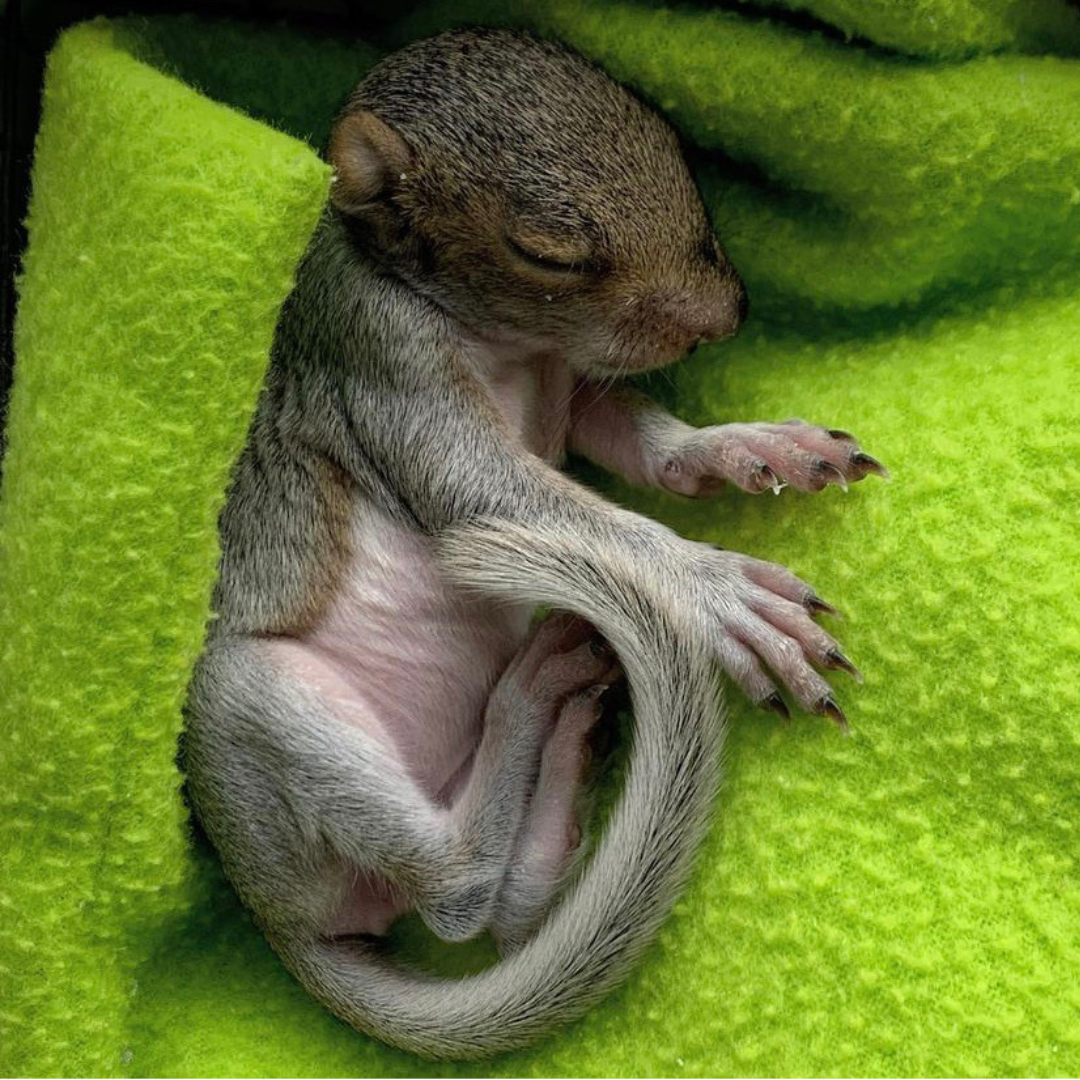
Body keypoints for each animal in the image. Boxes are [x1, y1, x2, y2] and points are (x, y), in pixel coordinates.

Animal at [181, 27, 881, 1062]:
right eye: (546, 253)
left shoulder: (573, 389)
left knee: (513, 909)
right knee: (459, 894)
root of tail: (289, 922)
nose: (730, 316)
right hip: (246, 711)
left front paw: (747, 447)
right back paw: (528, 706)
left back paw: (565, 730)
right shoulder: (376, 353)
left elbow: (639, 441)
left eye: (673, 144)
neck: (514, 345)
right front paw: (715, 590)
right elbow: (492, 489)